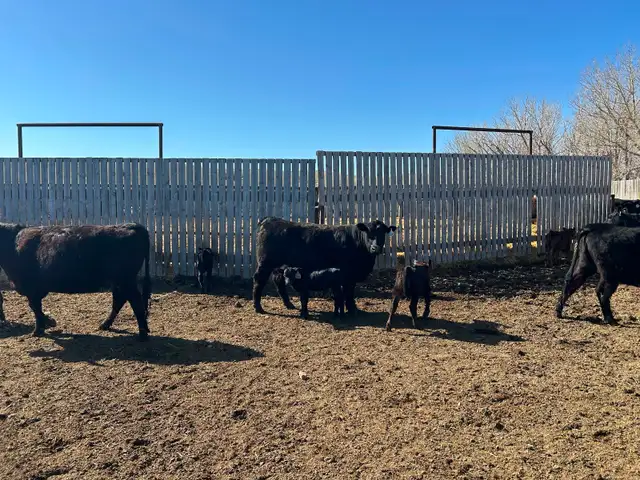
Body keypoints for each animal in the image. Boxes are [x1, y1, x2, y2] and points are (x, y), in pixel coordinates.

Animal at [0, 222, 152, 340]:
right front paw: (46, 324)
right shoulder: (35, 289)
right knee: (120, 301)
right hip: (119, 282)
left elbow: (35, 308)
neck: (14, 243)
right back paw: (105, 325)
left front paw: (40, 329)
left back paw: (143, 334)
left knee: (135, 302)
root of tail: (130, 225)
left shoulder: (30, 287)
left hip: (126, 281)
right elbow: (36, 308)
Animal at [252, 217, 397, 316]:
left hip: (279, 267)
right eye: (369, 233)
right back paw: (258, 307)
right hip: (265, 264)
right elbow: (349, 292)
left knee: (279, 281)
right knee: (259, 281)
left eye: (382, 233)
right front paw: (352, 310)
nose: (375, 248)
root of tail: (270, 219)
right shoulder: (348, 275)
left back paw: (289, 304)